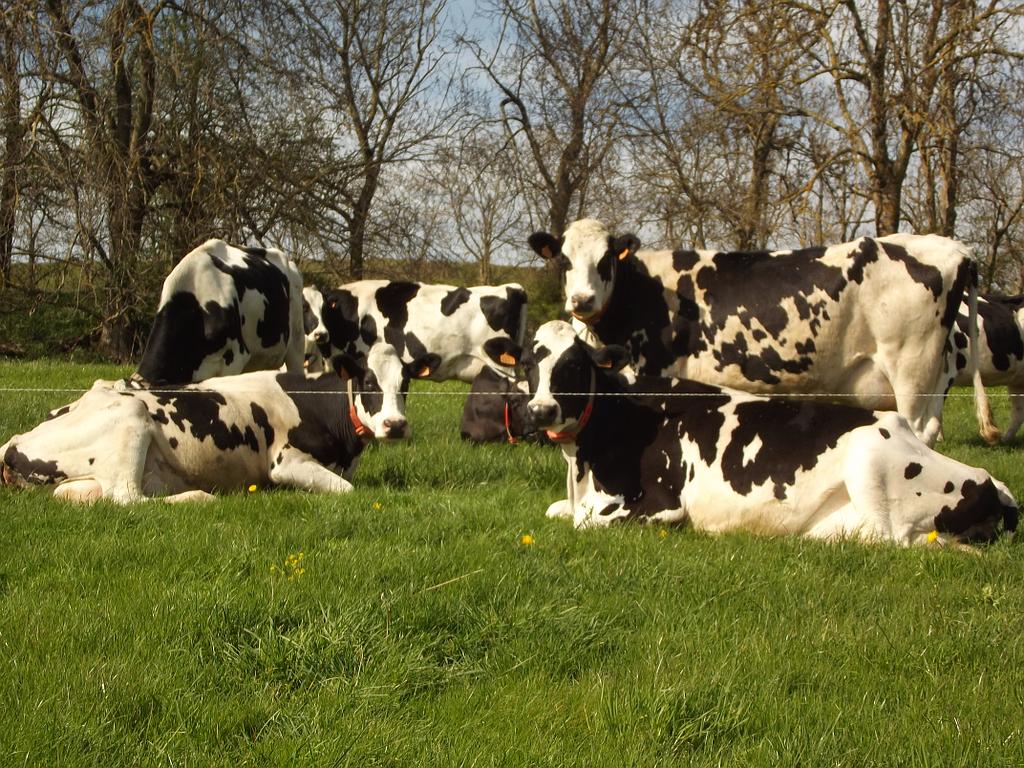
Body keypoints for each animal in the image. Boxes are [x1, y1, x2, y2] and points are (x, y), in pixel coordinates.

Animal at [0, 350, 410, 504]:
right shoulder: (285, 462)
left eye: (404, 383)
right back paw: (199, 496)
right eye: (369, 381)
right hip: (132, 415)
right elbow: (347, 489)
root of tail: (14, 441)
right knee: (128, 498)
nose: (396, 425)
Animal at [517, 321, 1017, 545]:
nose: (540, 411)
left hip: (869, 461)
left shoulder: (660, 506)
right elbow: (554, 510)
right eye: (527, 365)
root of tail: (990, 480)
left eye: (574, 365)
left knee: (891, 539)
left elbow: (582, 522)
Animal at [528, 219, 997, 447]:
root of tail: (953, 247)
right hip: (933, 376)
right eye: (565, 261)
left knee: (917, 428)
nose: (582, 300)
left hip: (911, 369)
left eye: (606, 259)